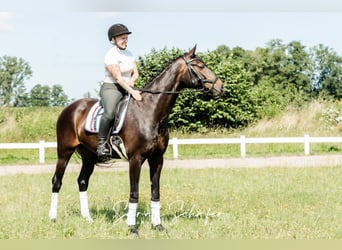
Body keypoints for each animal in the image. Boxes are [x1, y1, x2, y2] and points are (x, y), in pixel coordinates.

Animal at [48, 46, 224, 235]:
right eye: (200, 65)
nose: (220, 86)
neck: (150, 110)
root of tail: (70, 108)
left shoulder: (157, 159)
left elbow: (155, 192)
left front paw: (158, 225)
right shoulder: (136, 159)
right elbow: (134, 193)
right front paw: (132, 228)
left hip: (89, 156)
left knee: (82, 181)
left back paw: (87, 218)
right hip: (64, 152)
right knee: (57, 181)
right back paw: (53, 218)